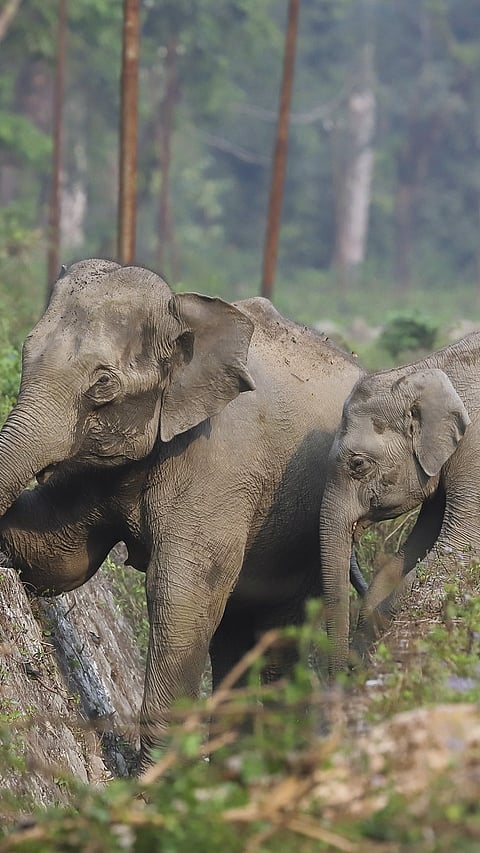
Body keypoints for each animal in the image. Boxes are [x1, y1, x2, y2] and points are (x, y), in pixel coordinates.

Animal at [0, 258, 366, 765]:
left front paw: (156, 780)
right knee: (233, 634)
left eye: (103, 382)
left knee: (276, 634)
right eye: (25, 350)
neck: (184, 312)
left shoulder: (218, 467)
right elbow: (56, 557)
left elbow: (180, 594)